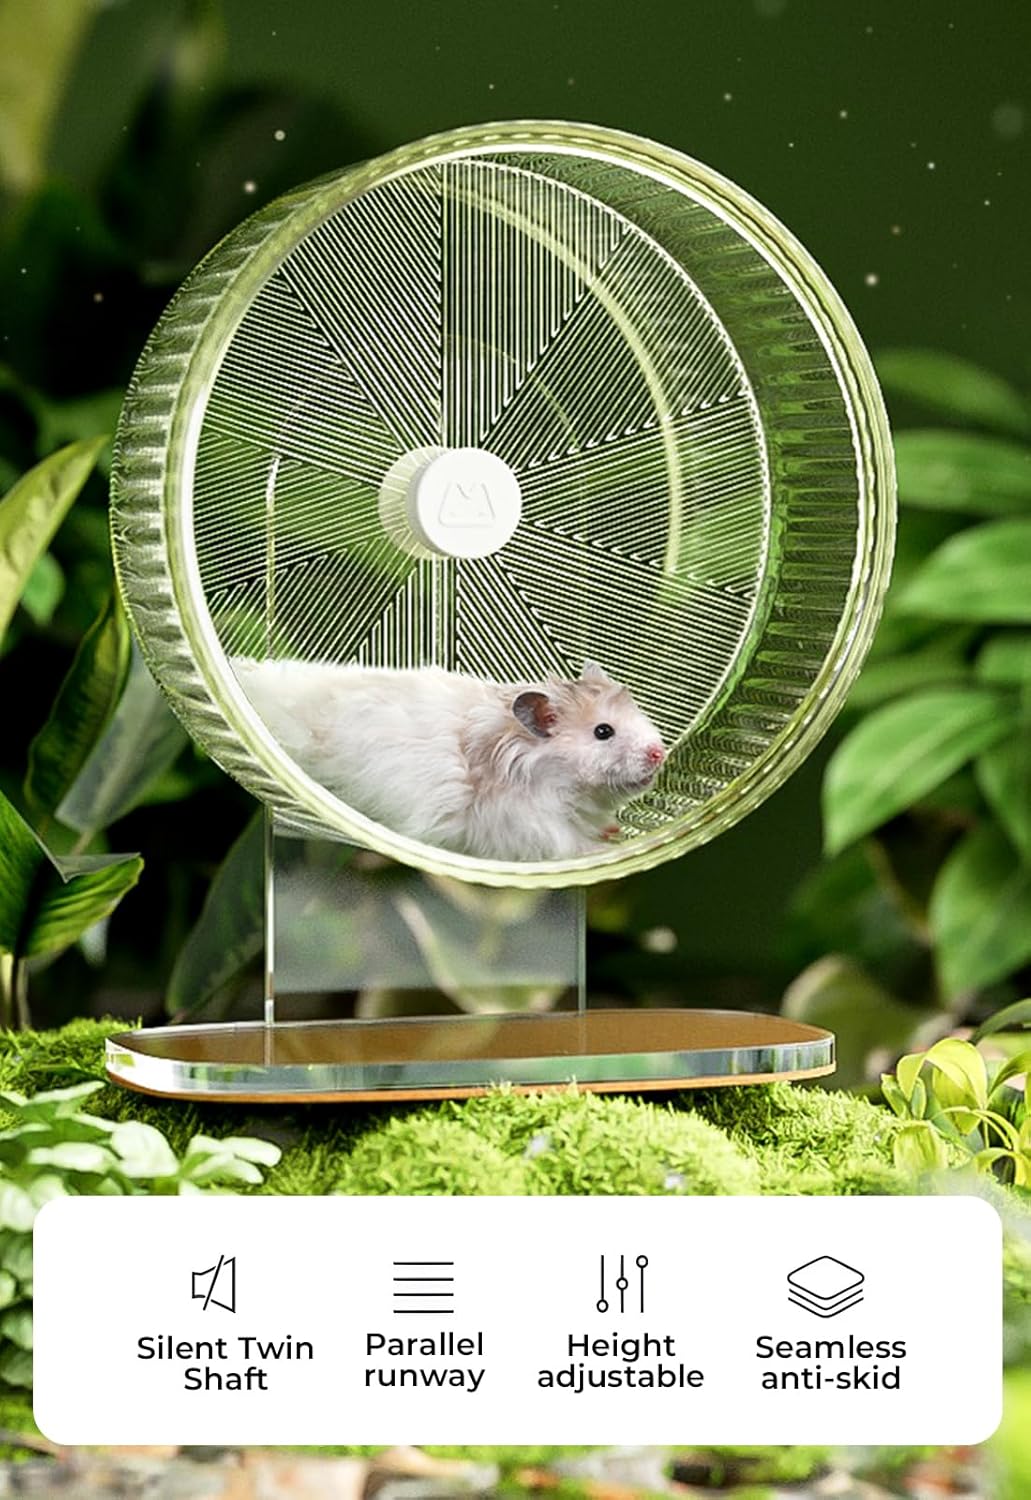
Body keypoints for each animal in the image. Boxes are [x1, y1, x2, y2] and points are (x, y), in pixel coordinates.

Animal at [230, 657, 666, 861]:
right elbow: (569, 845)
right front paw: (603, 850)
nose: (660, 753)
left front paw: (612, 831)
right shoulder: (529, 827)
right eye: (603, 732)